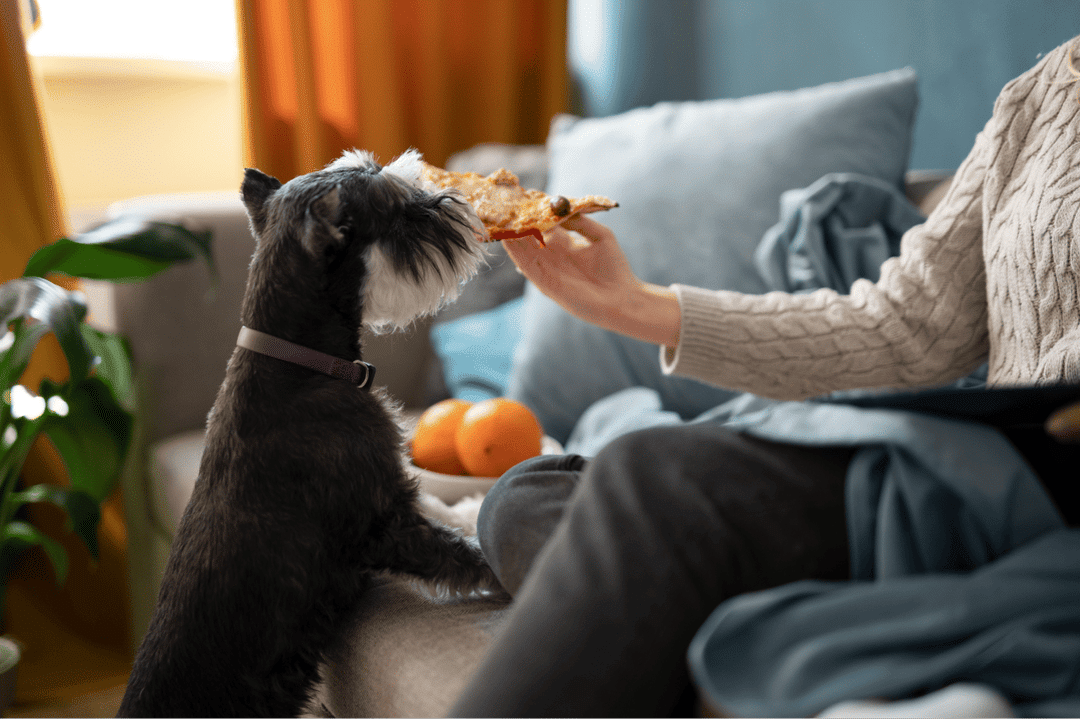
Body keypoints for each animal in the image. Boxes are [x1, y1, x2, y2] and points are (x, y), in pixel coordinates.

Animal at [116, 147, 503, 712]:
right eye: (397, 211)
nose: (457, 204)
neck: (300, 362)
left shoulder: (392, 490)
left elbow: (444, 510)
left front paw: (474, 507)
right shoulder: (383, 523)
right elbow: (465, 554)